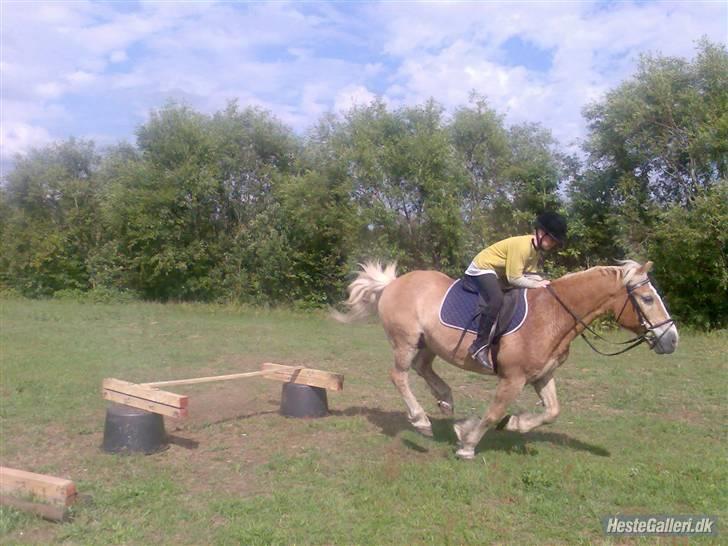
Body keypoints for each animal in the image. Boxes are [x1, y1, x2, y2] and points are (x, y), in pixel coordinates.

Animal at [332, 260, 680, 460]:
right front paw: (468, 443)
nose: (672, 339)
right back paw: (421, 421)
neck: (553, 316)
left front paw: (513, 424)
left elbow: (552, 411)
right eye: (647, 299)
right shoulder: (513, 379)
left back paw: (445, 400)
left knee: (422, 368)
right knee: (399, 375)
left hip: (428, 344)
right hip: (405, 341)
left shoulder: (542, 376)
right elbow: (492, 413)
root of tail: (392, 283)